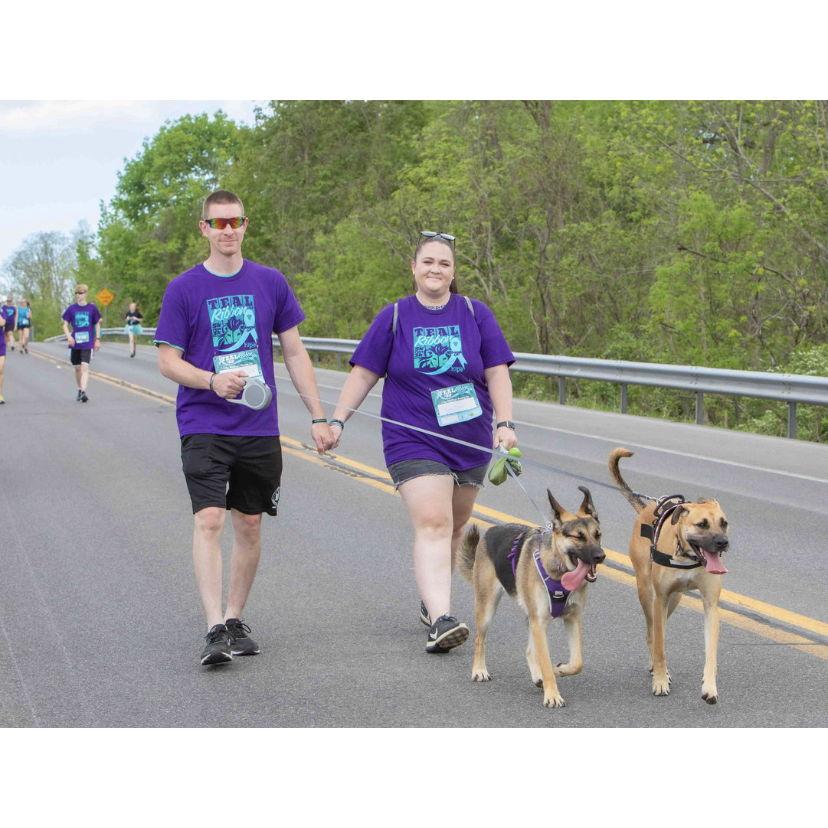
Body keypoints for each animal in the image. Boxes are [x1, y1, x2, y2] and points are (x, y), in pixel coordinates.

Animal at [456, 488, 604, 708]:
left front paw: (560, 669)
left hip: (531, 619)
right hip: (488, 608)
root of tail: (491, 531)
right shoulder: (540, 622)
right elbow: (546, 661)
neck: (558, 570)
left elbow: (577, 663)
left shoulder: (572, 619)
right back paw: (479, 670)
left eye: (597, 535)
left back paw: (538, 676)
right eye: (579, 537)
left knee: (529, 650)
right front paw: (552, 694)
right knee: (479, 639)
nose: (601, 556)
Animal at [608, 450, 732, 700]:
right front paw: (660, 680)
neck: (687, 555)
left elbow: (711, 652)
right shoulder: (660, 598)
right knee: (652, 633)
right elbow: (660, 646)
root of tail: (647, 508)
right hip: (647, 593)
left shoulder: (710, 604)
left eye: (723, 523)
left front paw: (710, 686)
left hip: (675, 599)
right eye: (702, 524)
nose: (723, 543)